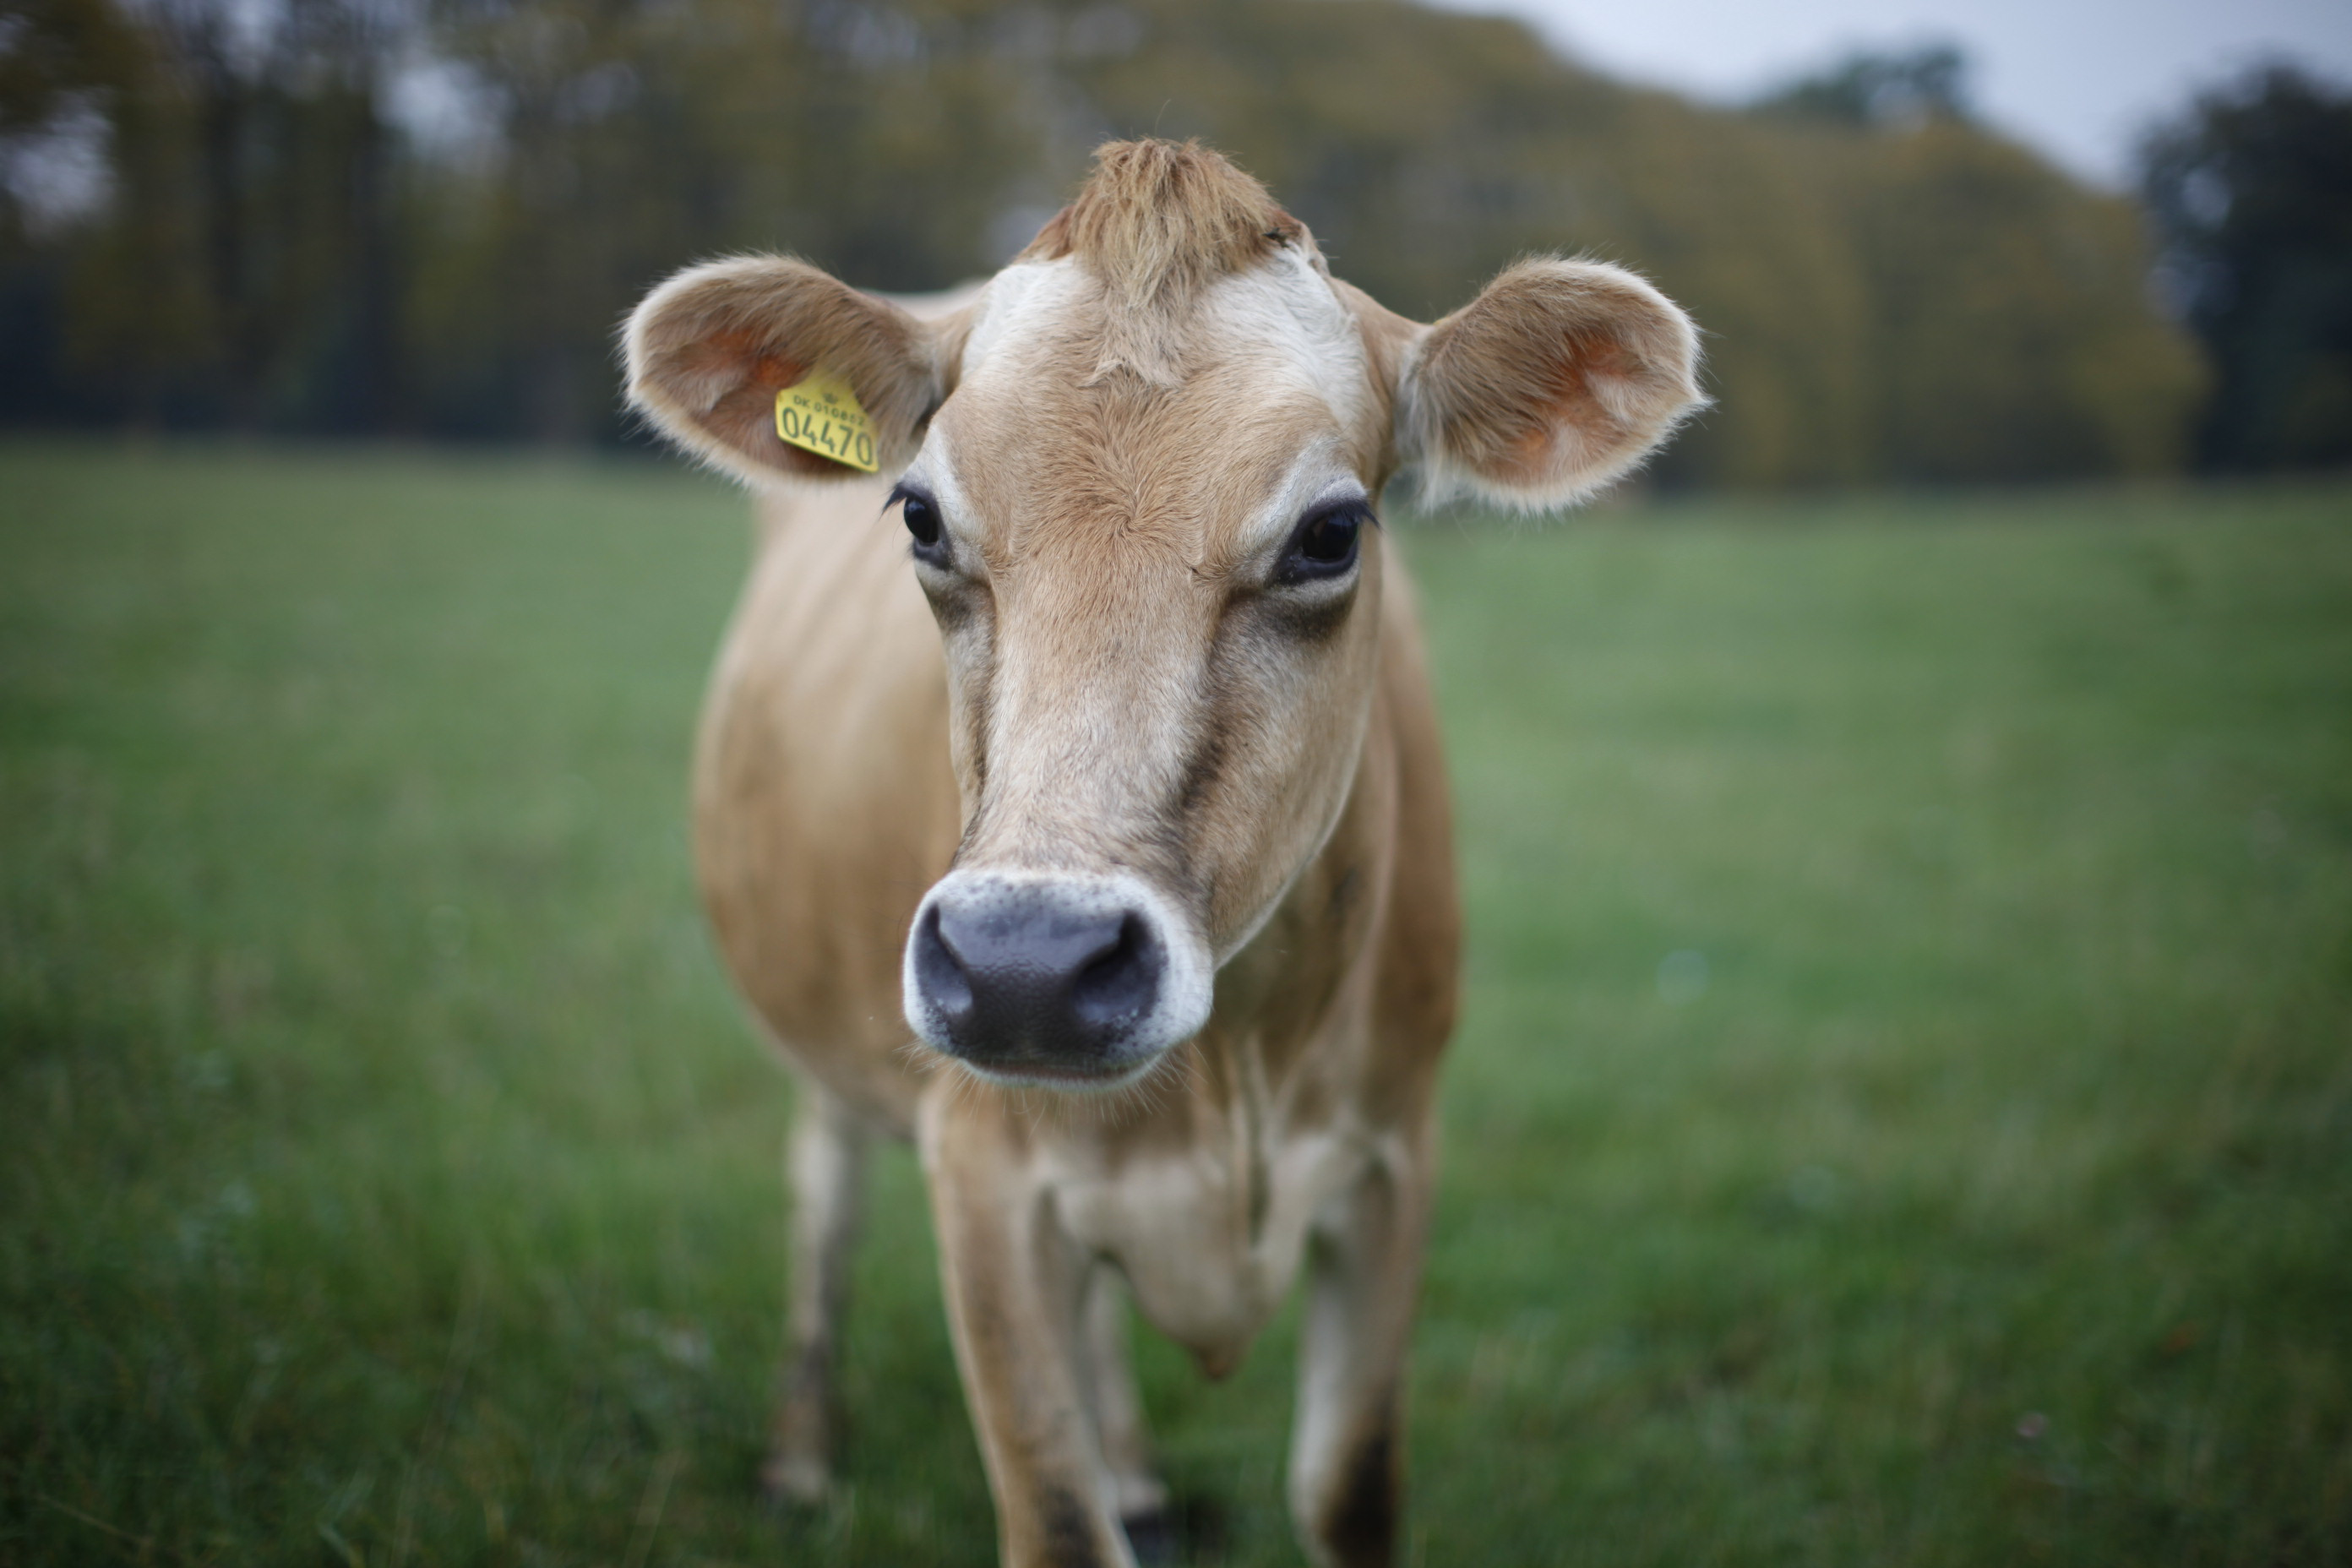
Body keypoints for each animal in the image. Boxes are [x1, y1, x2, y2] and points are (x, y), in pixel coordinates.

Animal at [616, 138, 1702, 1568]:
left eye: (1331, 533)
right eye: (918, 518)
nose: (1027, 965)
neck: (1236, 1072)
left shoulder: (1395, 1154)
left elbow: (1348, 1486)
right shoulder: (979, 1172)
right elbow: (1058, 1517)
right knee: (825, 1181)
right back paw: (801, 1455)